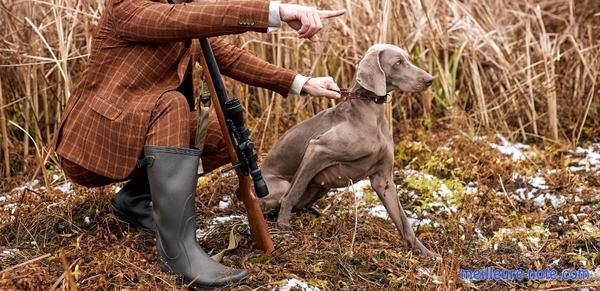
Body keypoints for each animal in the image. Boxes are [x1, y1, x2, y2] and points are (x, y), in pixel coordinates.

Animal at [258, 44, 436, 258]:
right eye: (398, 63)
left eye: (407, 59)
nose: (430, 79)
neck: (371, 116)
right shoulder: (316, 149)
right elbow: (292, 194)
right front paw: (283, 226)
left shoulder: (383, 178)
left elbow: (403, 221)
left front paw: (426, 252)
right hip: (281, 186)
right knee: (281, 198)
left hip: (321, 187)